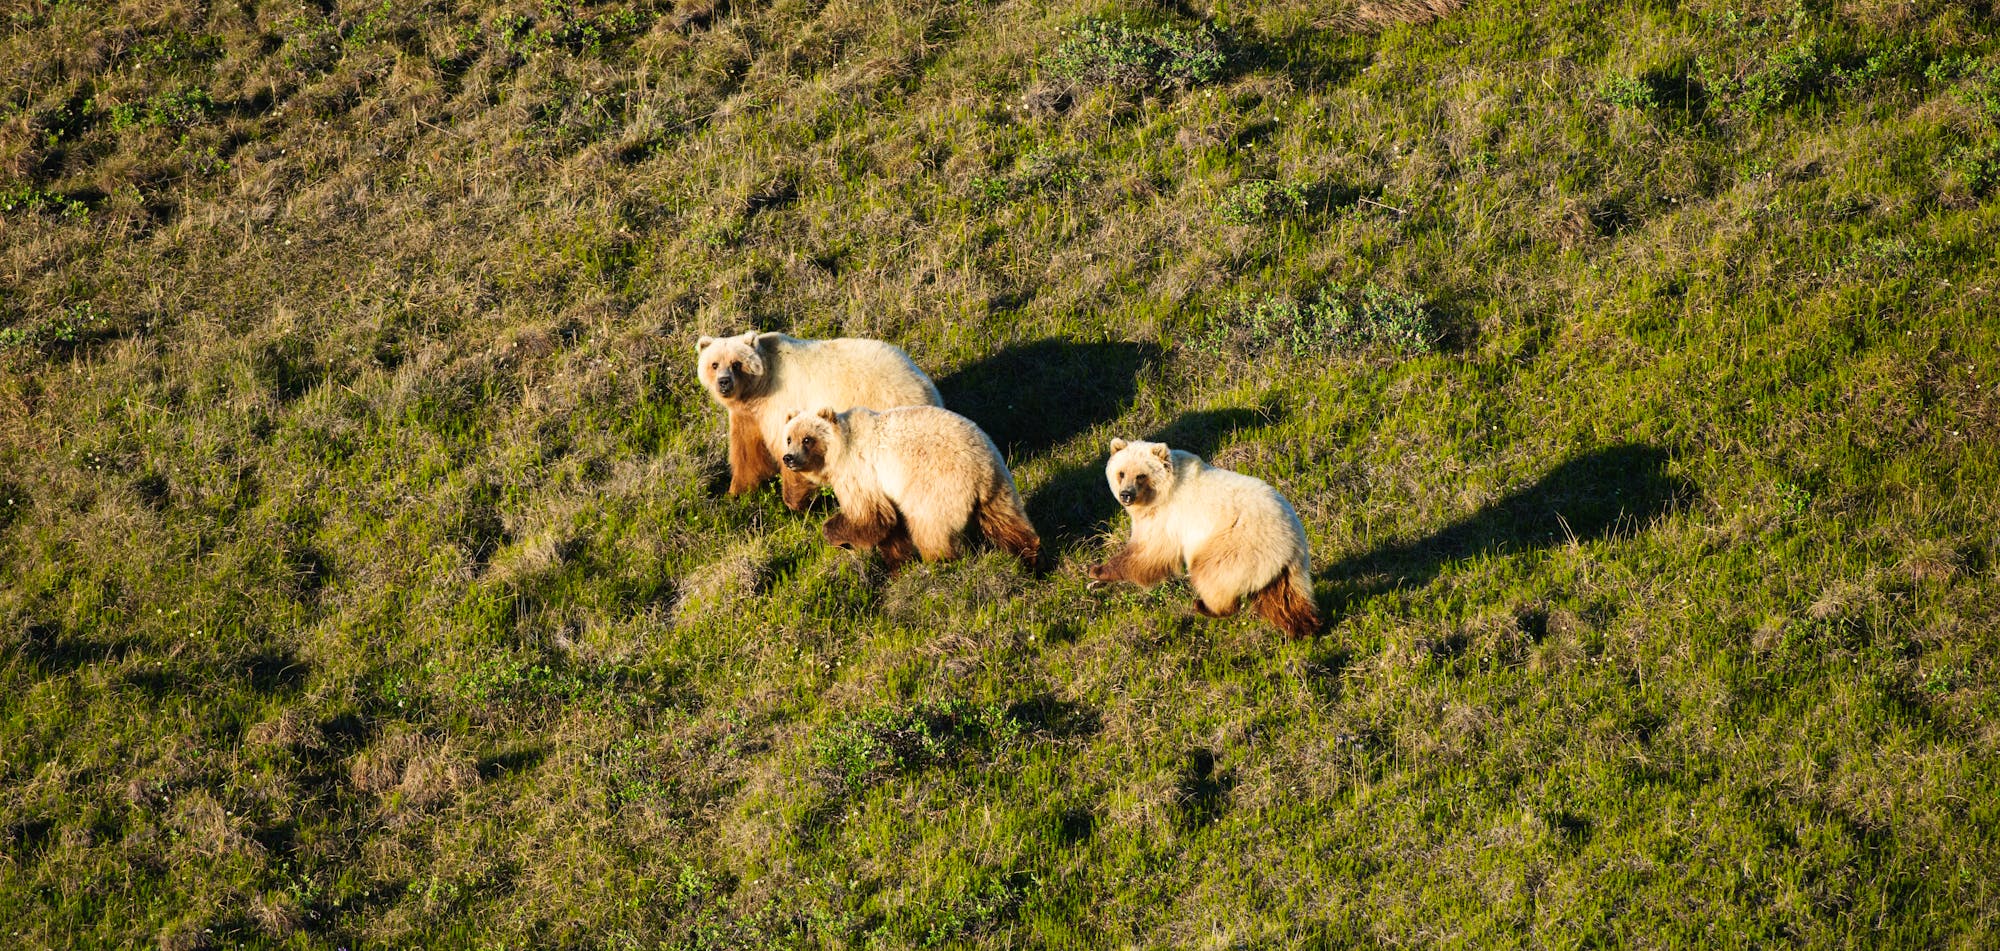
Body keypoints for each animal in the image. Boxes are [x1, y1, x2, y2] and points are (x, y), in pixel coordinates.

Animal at [697, 331, 941, 510]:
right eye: (715, 364)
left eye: (736, 363)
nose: (724, 382)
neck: (758, 391)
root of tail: (928, 389)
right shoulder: (748, 415)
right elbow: (747, 453)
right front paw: (735, 491)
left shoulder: (780, 402)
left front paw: (795, 504)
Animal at [778, 405, 1040, 572]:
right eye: (789, 438)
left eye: (807, 439)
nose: (788, 458)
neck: (839, 451)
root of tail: (980, 470)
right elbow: (890, 528)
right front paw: (899, 565)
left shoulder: (860, 473)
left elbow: (872, 517)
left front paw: (833, 532)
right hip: (999, 485)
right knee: (1008, 523)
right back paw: (1031, 560)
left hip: (936, 486)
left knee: (930, 529)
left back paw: (941, 564)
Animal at [1087, 438, 1319, 639]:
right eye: (1121, 473)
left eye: (1141, 475)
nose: (1126, 494)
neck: (1161, 493)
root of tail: (1290, 540)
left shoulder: (1167, 518)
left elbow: (1149, 554)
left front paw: (1097, 570)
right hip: (1285, 568)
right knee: (1284, 598)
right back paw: (1303, 626)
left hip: (1237, 544)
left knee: (1211, 573)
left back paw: (1207, 606)